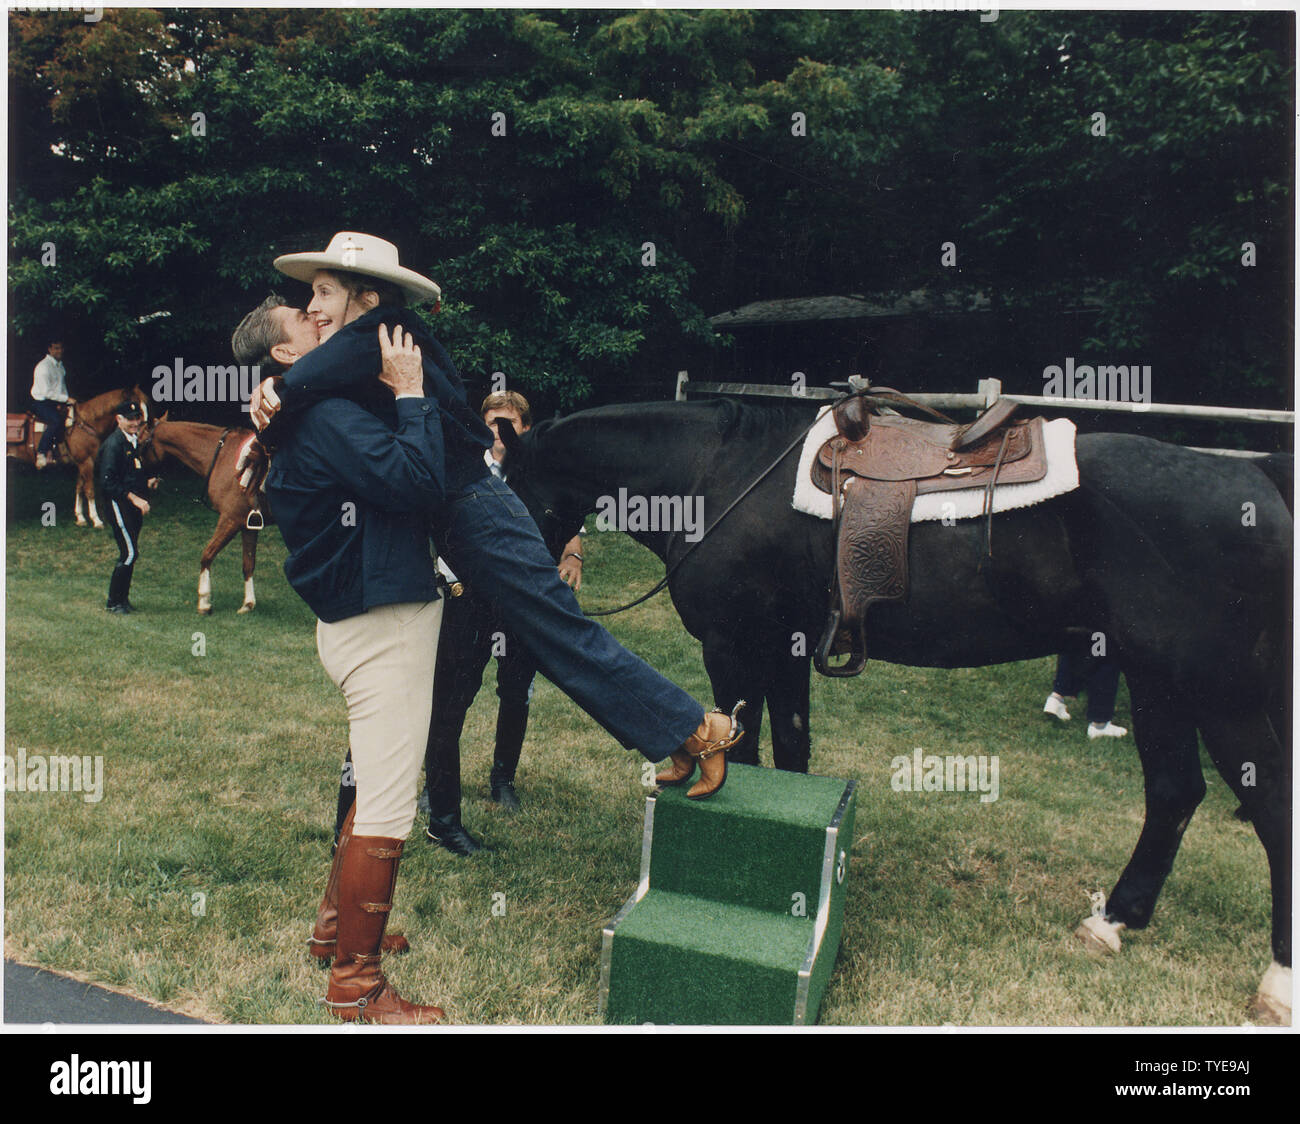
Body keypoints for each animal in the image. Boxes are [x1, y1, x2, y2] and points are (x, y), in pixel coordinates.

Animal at [142, 418, 266, 613]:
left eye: (140, 442)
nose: (147, 481)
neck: (223, 455)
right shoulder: (248, 525)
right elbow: (248, 564)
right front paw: (248, 603)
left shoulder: (230, 520)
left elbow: (207, 554)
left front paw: (204, 600)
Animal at [504, 400, 1289, 1023]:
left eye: (508, 483)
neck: (713, 470)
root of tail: (1258, 480)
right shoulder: (786, 650)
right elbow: (790, 753)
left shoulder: (734, 646)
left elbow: (745, 753)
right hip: (1160, 684)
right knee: (1175, 794)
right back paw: (1116, 919)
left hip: (1218, 693)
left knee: (1268, 811)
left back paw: (1276, 979)